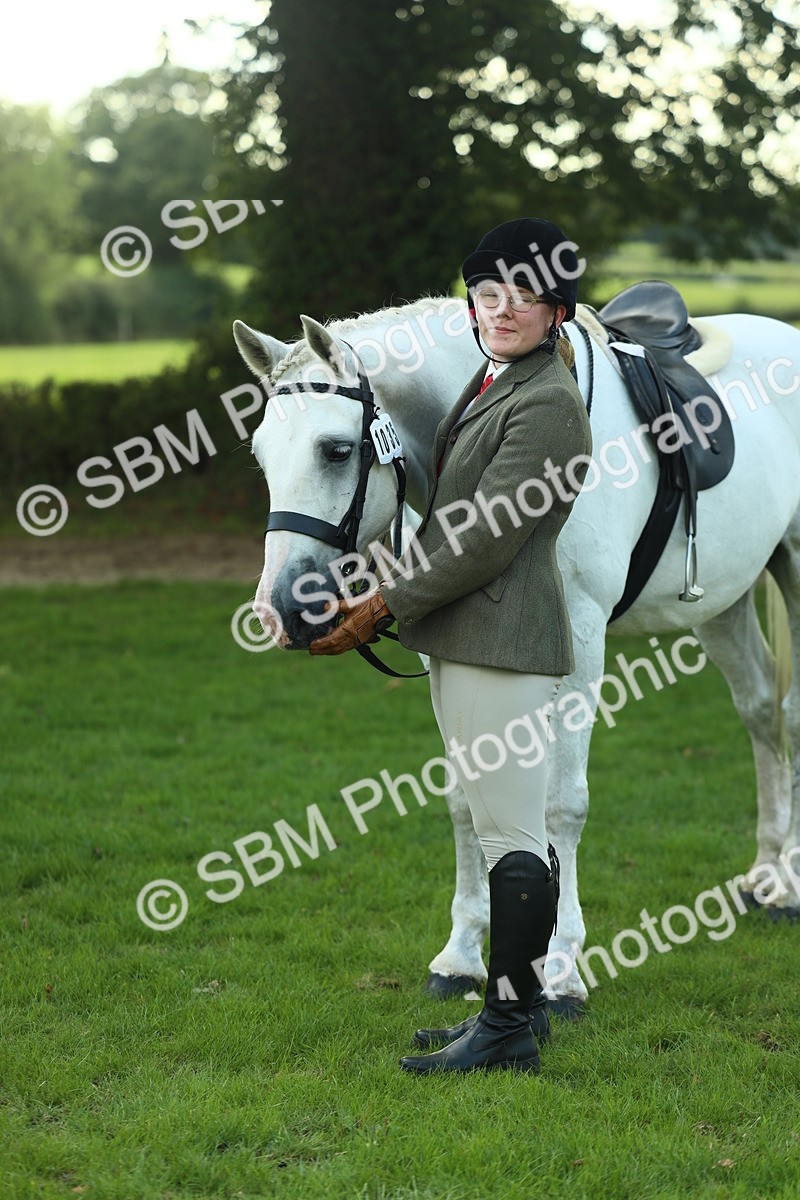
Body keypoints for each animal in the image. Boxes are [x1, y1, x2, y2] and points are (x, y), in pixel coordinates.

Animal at [232, 294, 800, 1010]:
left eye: (335, 451)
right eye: (260, 456)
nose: (280, 608)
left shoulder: (580, 642)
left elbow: (563, 804)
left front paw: (561, 970)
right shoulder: (449, 647)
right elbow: (464, 801)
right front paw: (460, 956)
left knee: (789, 715)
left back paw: (790, 883)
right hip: (723, 602)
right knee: (760, 710)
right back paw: (766, 873)